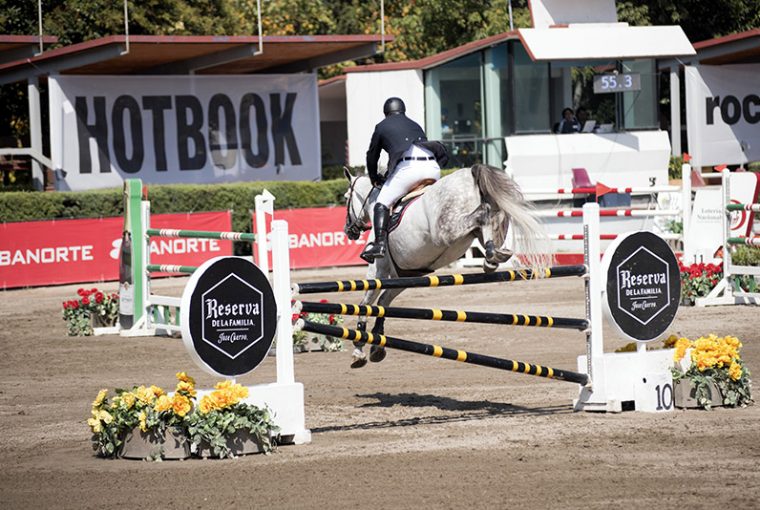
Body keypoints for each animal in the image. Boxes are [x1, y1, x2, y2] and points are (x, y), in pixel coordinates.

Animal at [343, 163, 551, 368]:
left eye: (346, 198)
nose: (348, 230)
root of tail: (470, 173)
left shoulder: (379, 269)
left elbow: (367, 304)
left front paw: (359, 349)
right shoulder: (406, 275)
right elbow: (383, 302)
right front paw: (377, 345)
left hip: (446, 229)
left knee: (481, 215)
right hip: (495, 220)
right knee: (488, 229)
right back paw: (493, 257)